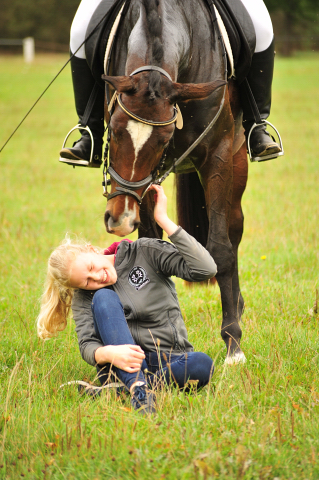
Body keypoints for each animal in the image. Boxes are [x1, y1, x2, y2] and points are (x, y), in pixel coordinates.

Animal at [101, 0, 249, 362]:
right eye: (114, 128)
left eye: (164, 137)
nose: (120, 218)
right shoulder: (145, 185)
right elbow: (148, 240)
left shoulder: (218, 156)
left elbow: (221, 249)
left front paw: (233, 345)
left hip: (237, 161)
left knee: (233, 231)